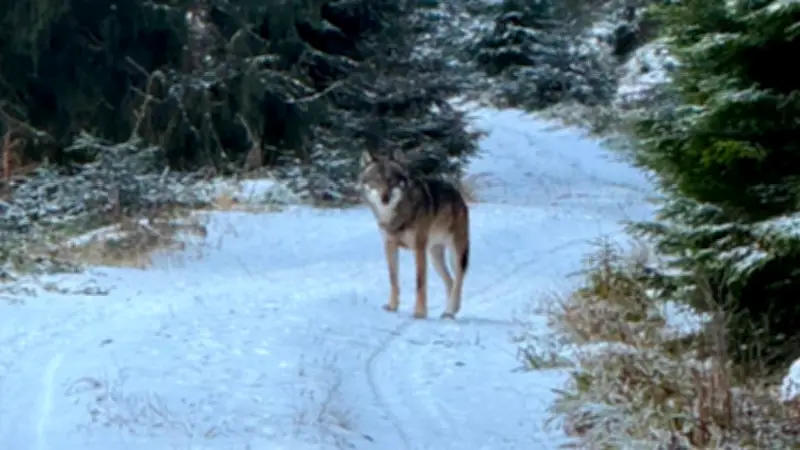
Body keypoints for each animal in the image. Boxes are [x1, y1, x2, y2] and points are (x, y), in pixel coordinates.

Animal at [358, 149, 470, 320]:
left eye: (391, 180)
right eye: (376, 180)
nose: (385, 198)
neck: (394, 217)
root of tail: (456, 193)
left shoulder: (418, 249)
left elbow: (420, 282)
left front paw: (419, 312)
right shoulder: (389, 246)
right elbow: (393, 278)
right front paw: (392, 306)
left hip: (456, 253)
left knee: (458, 280)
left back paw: (450, 311)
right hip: (434, 257)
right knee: (450, 281)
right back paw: (450, 311)